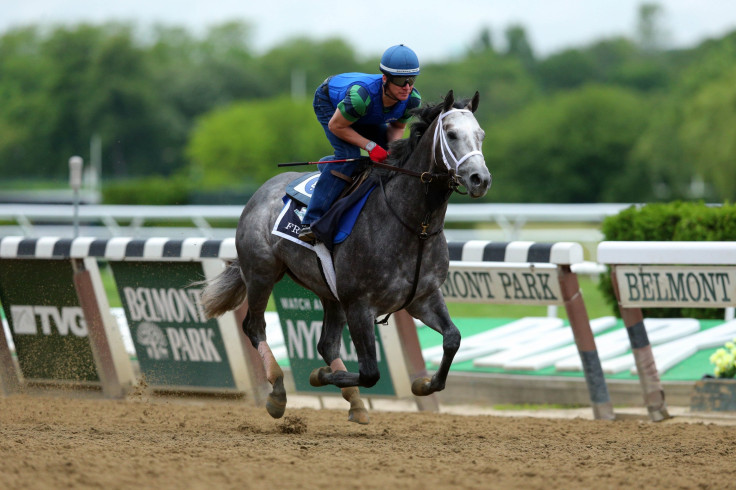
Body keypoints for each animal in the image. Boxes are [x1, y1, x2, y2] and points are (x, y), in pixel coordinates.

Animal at [198, 90, 492, 424]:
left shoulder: (422, 297)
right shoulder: (360, 304)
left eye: (481, 135)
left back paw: (356, 404)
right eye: (451, 134)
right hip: (261, 273)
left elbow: (452, 339)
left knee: (326, 343)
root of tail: (261, 192)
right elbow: (370, 373)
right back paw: (278, 391)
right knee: (254, 327)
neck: (414, 226)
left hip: (329, 293)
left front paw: (424, 383)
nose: (480, 179)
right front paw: (319, 376)